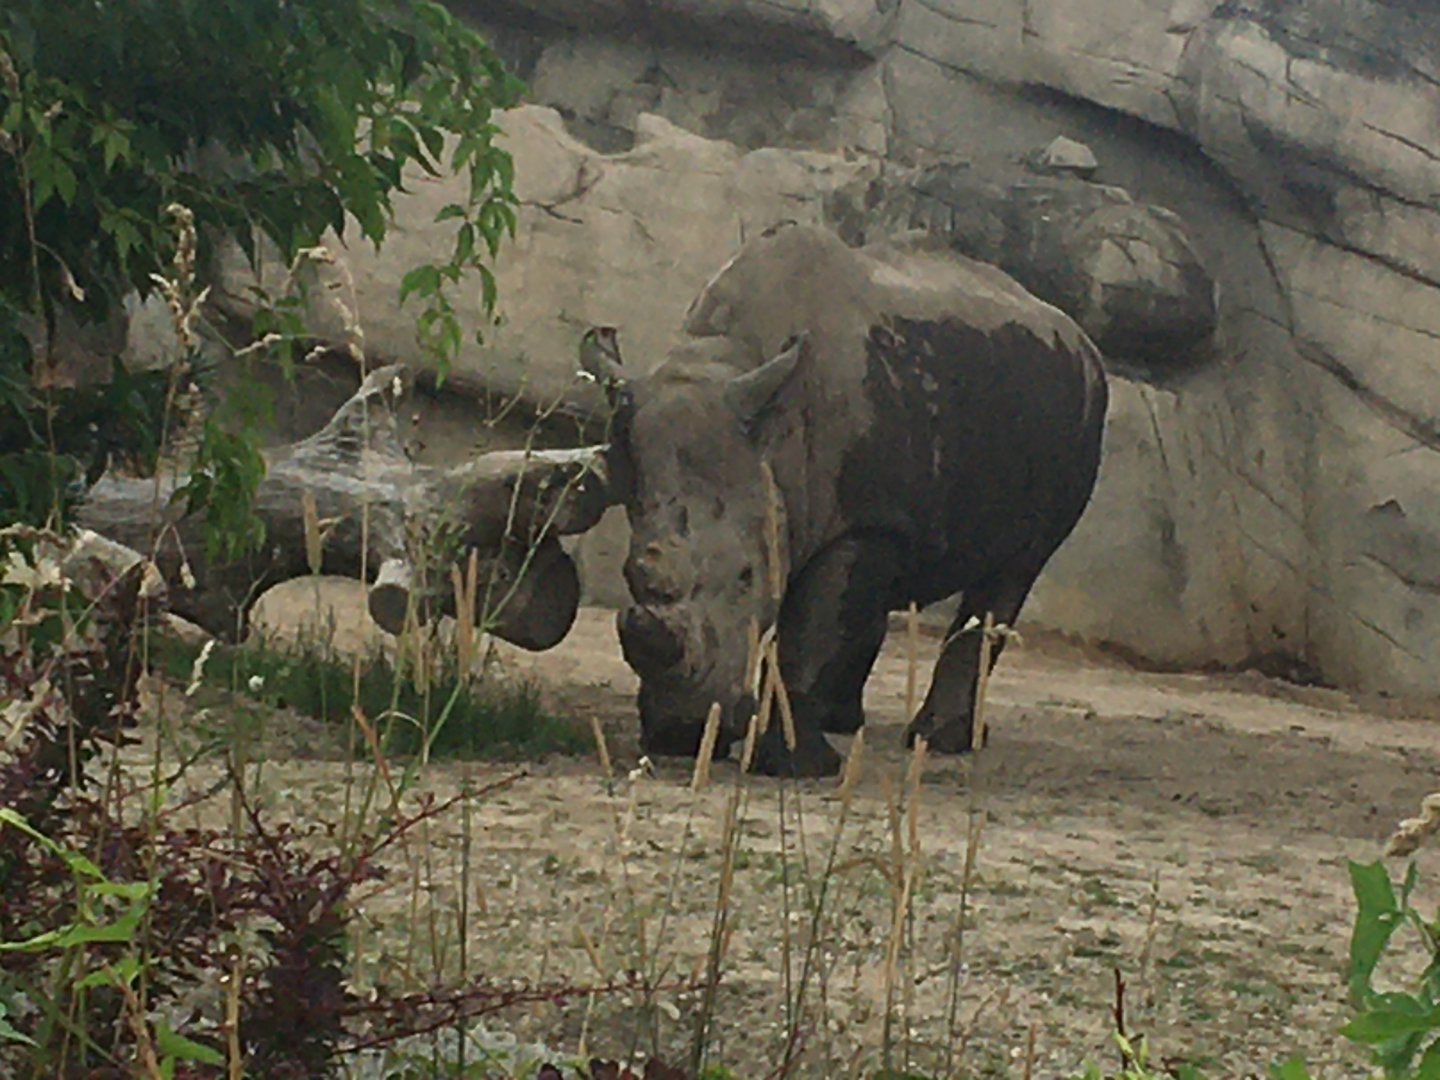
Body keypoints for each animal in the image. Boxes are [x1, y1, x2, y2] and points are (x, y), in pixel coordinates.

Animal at [581, 223, 1109, 776]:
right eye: (629, 574)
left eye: (746, 575)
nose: (680, 731)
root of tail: (1082, 339)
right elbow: (825, 618)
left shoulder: (862, 520)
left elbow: (811, 633)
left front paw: (792, 764)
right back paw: (847, 723)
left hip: (1082, 407)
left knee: (1014, 569)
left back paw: (936, 740)